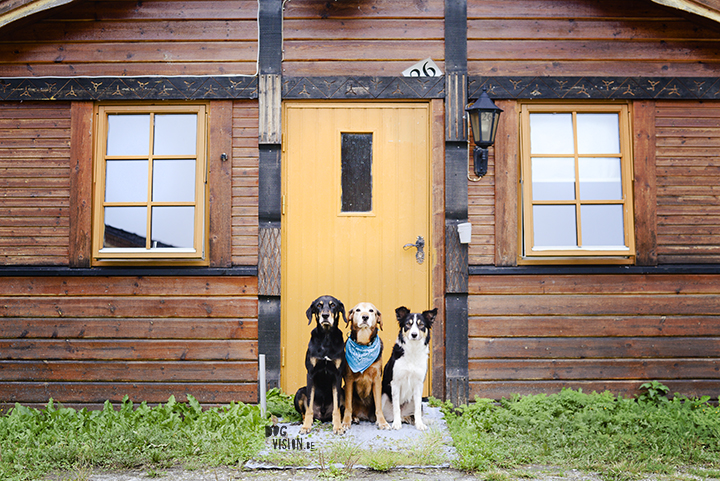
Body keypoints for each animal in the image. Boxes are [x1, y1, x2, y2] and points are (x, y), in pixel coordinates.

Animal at [294, 294, 348, 434]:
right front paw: (306, 426)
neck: (326, 337)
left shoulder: (337, 375)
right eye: (319, 305)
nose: (325, 315)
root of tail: (322, 416)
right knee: (305, 411)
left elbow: (336, 407)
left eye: (333, 305)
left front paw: (338, 426)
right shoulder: (311, 373)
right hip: (299, 392)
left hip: (343, 391)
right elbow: (309, 406)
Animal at [342, 300, 390, 432]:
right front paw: (346, 421)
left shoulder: (377, 379)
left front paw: (382, 422)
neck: (363, 344)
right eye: (357, 310)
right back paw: (354, 418)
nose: (365, 317)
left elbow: (379, 406)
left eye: (371, 311)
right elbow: (348, 405)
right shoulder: (349, 379)